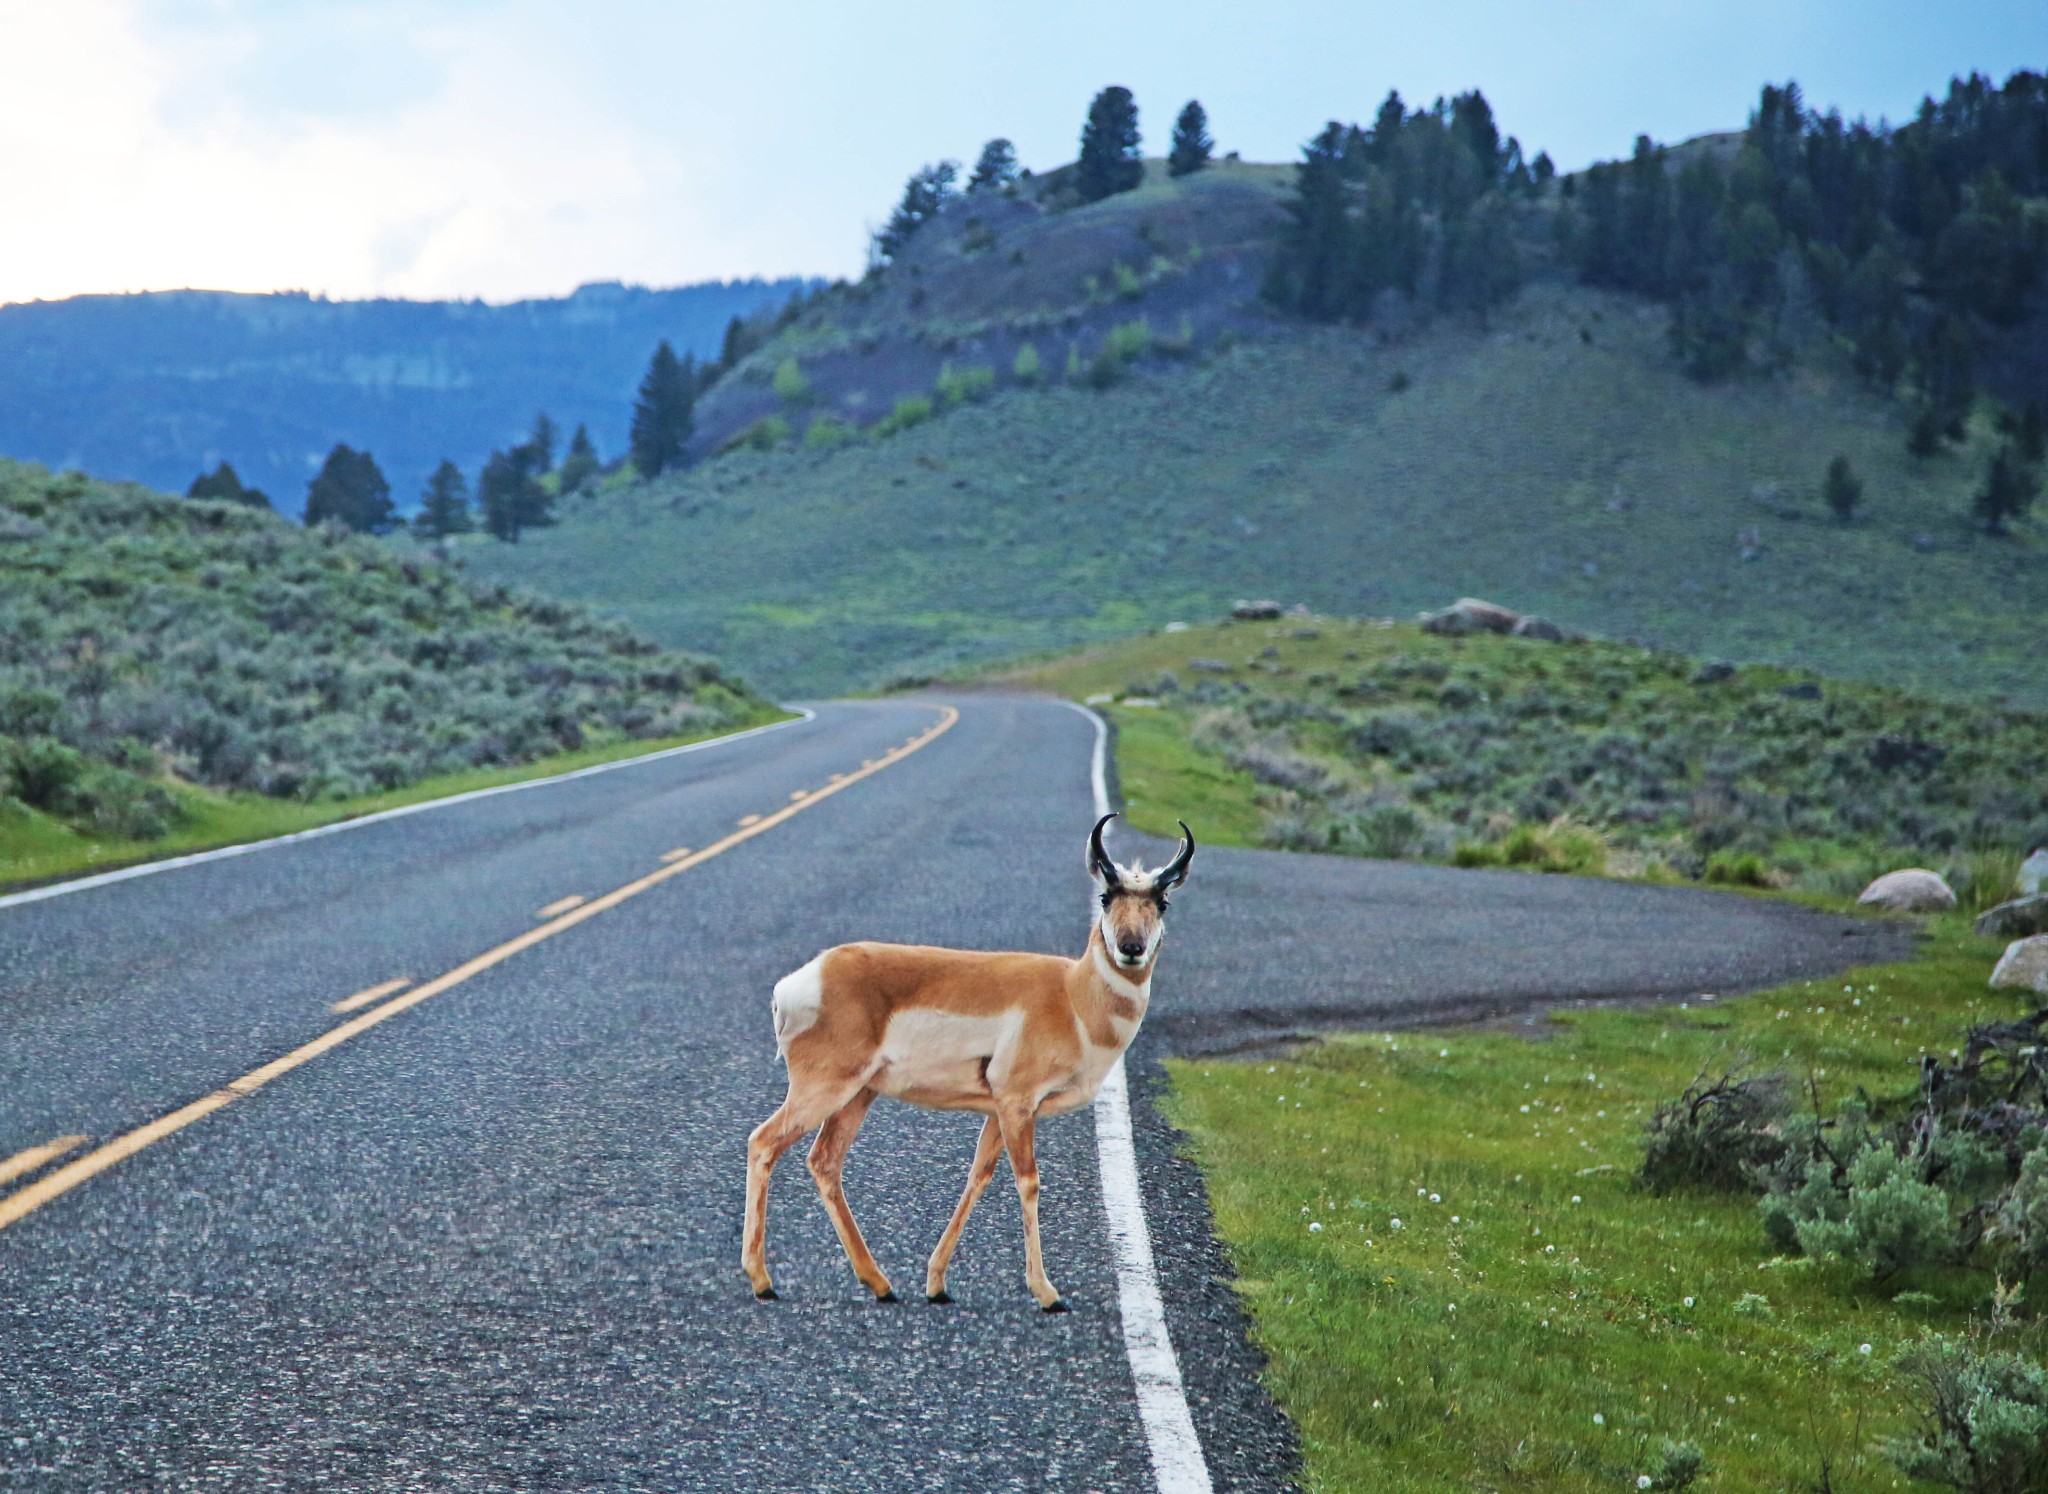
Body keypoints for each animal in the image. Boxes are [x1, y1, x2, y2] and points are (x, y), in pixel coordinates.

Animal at [741, 811, 1196, 1311]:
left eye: (1162, 902)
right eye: (1105, 895)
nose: (1131, 948)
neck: (1071, 994)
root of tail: (803, 979)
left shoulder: (1000, 1112)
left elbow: (978, 1176)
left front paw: (937, 1283)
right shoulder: (1017, 1105)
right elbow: (1028, 1181)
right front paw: (1047, 1293)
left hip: (857, 1096)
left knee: (824, 1162)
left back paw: (879, 1283)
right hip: (824, 1090)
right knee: (763, 1142)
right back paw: (762, 1281)